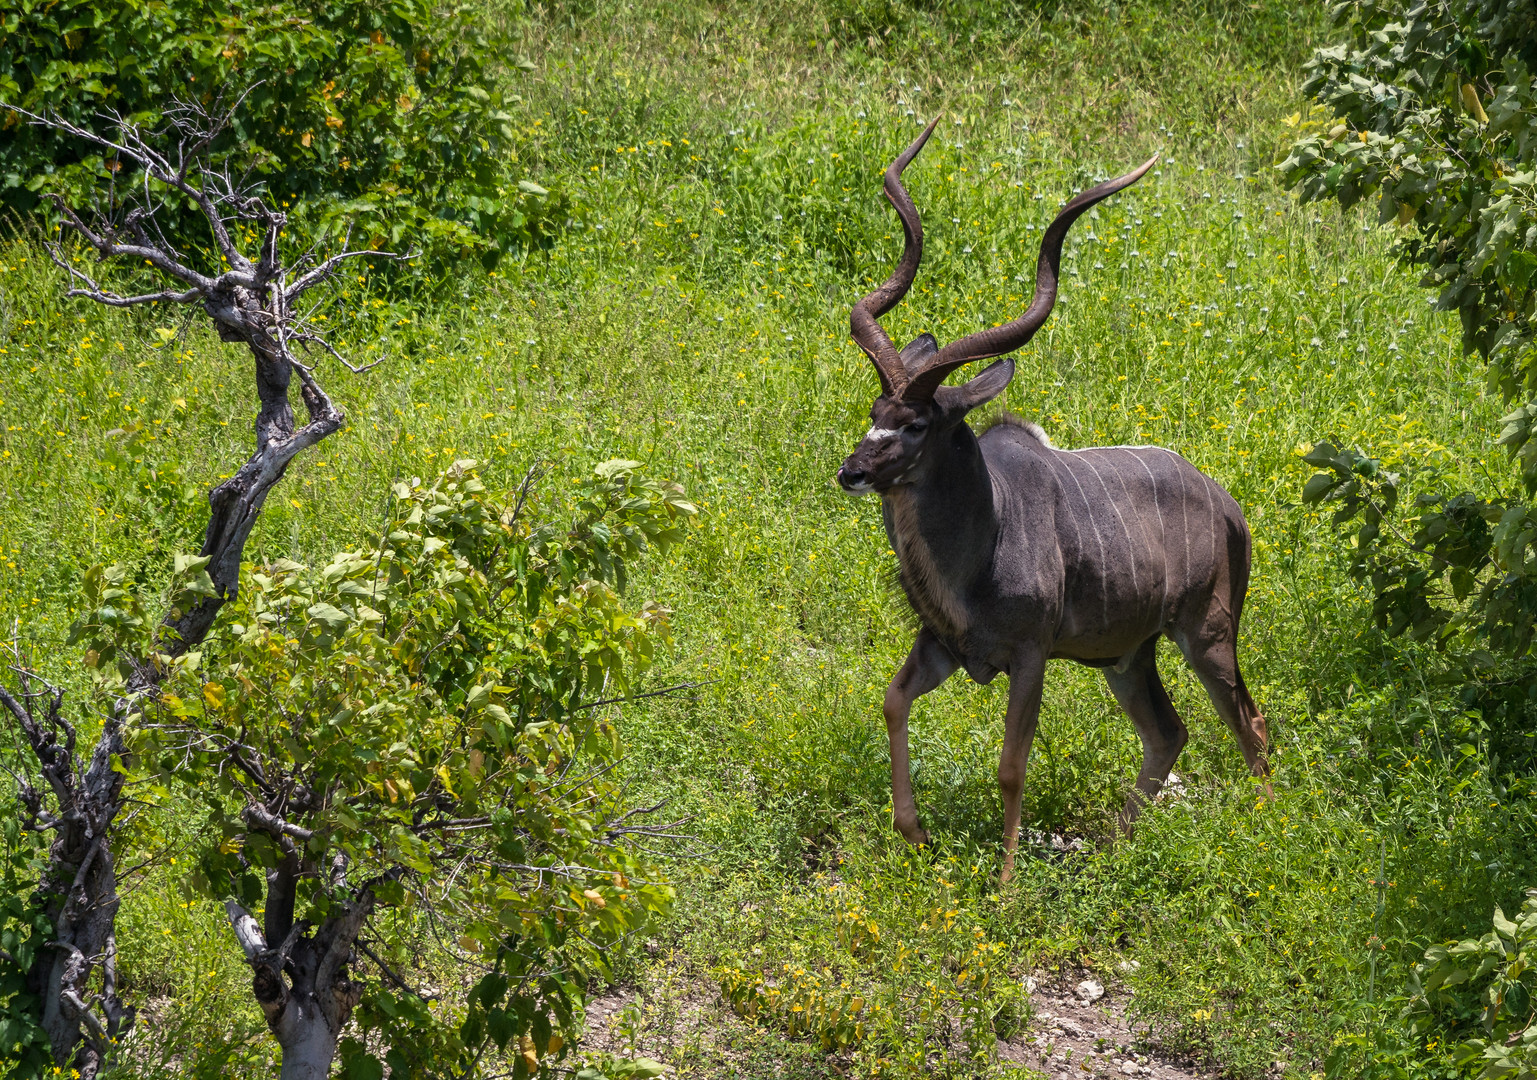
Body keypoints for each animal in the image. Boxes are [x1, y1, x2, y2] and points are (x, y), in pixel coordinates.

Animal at [842, 120, 1272, 878]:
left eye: (917, 424)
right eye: (874, 410)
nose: (852, 471)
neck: (982, 540)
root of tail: (1228, 507)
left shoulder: (1030, 655)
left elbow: (1011, 765)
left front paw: (1007, 881)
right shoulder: (943, 647)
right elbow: (892, 702)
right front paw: (914, 834)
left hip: (1207, 634)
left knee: (1249, 723)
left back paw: (1262, 834)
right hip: (1128, 657)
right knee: (1169, 732)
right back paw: (1113, 856)